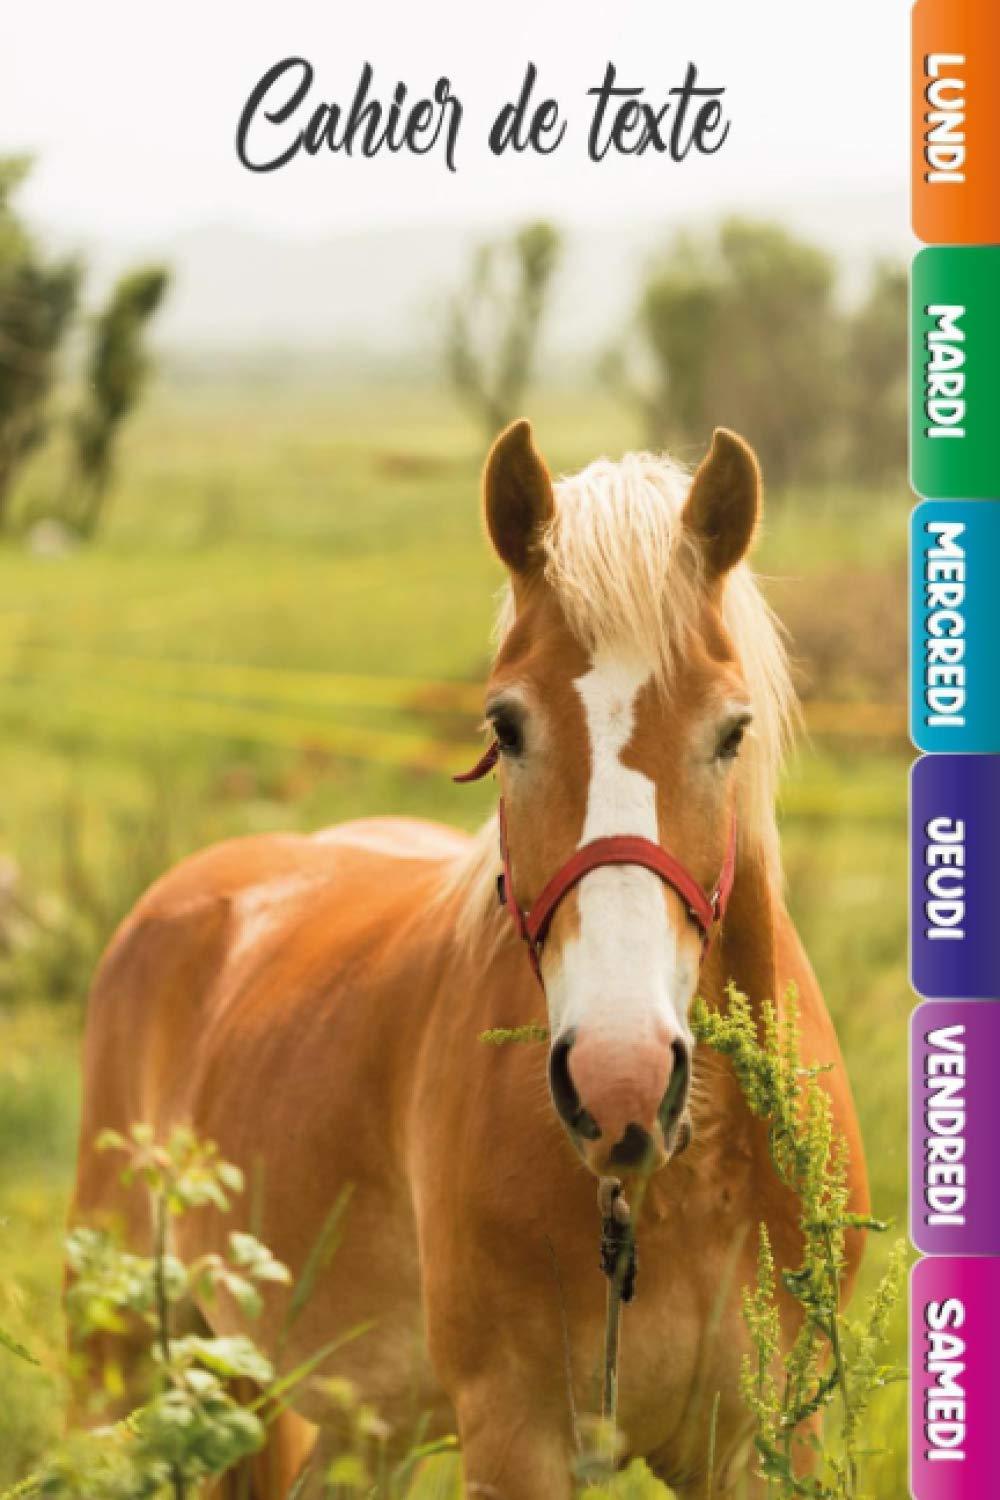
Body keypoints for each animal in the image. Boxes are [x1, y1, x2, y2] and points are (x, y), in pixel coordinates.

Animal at [69, 421, 868, 1498]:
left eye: (731, 730)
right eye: (506, 726)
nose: (619, 1080)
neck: (672, 1190)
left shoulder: (763, 1442)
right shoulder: (513, 1436)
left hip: (353, 1425)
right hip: (117, 1352)